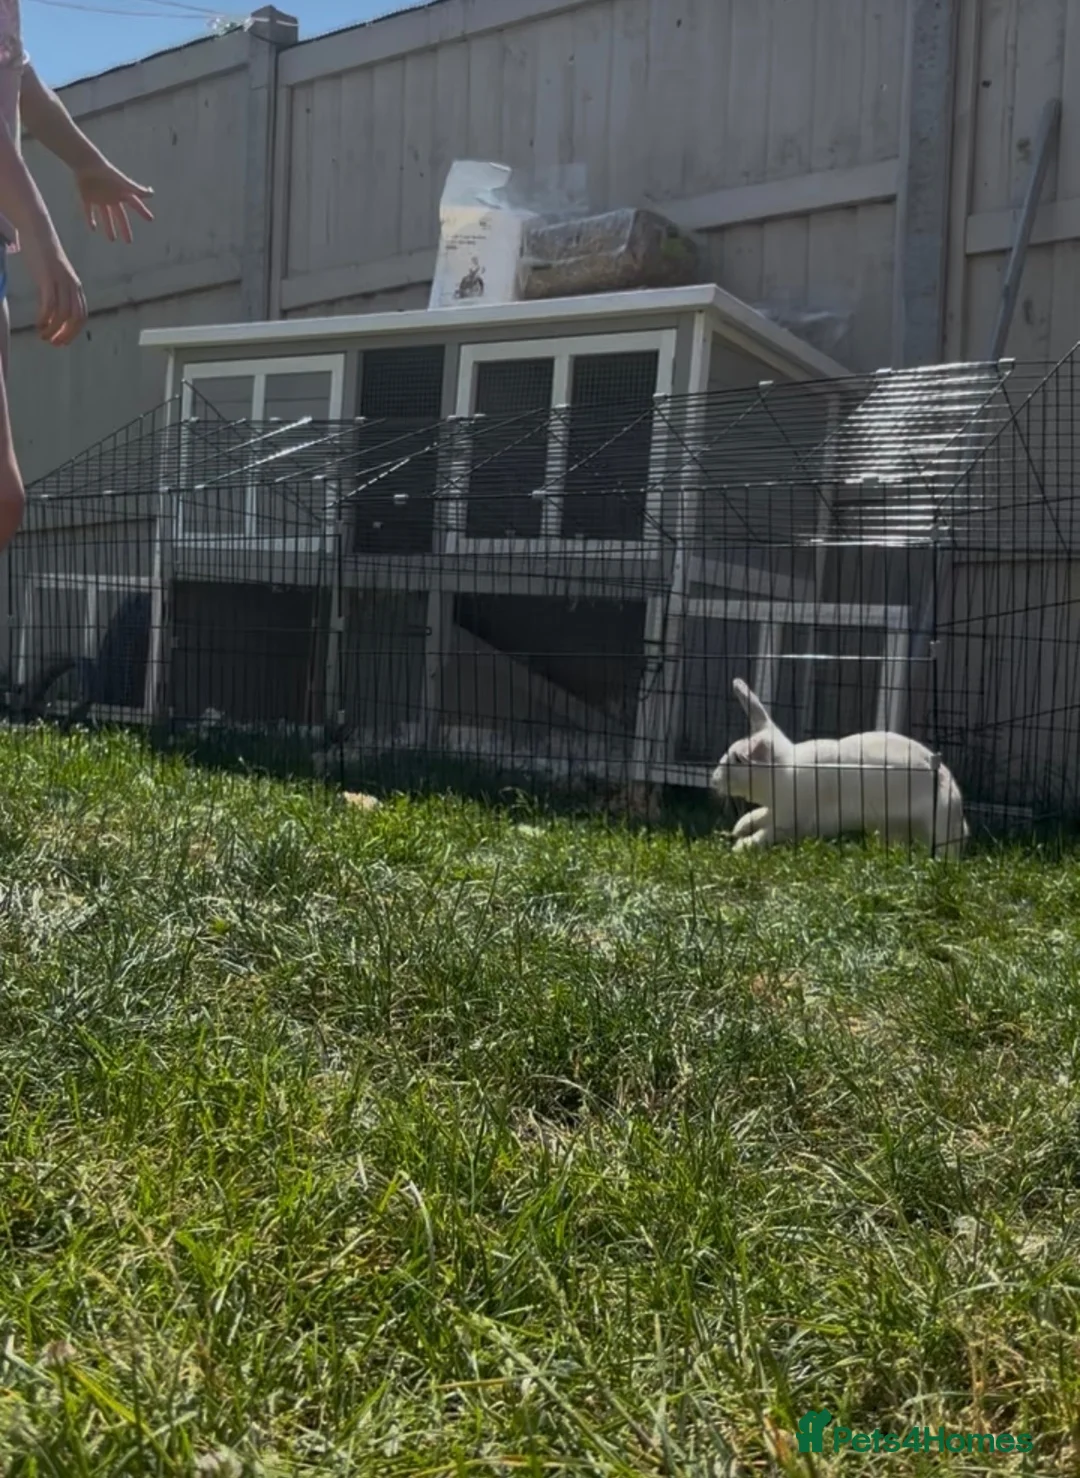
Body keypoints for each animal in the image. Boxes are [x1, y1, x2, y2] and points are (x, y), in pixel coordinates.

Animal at [710, 678, 968, 859]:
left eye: (737, 761)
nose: (714, 781)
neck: (783, 771)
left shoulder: (794, 821)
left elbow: (767, 833)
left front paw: (741, 846)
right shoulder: (778, 810)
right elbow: (759, 816)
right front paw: (739, 827)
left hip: (938, 824)